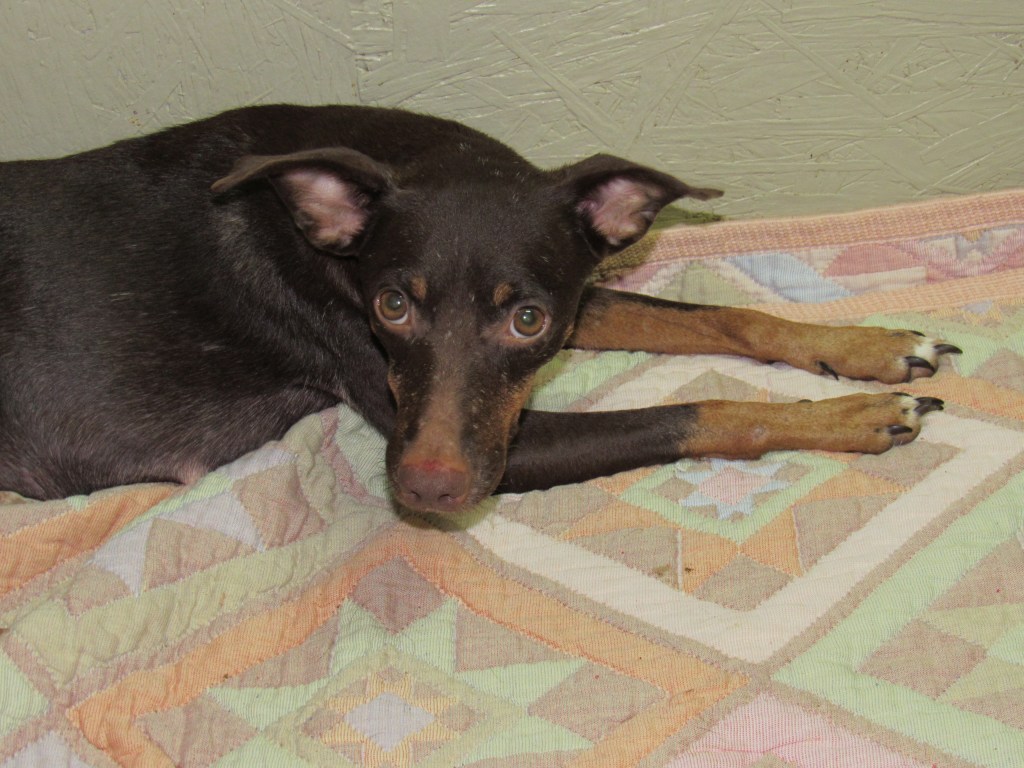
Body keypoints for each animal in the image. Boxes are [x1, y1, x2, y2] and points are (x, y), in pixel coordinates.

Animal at [0, 104, 959, 513]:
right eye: (391, 305)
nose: (426, 492)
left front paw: (866, 347)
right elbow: (701, 410)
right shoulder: (493, 444)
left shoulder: (569, 299)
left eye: (526, 320)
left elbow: (723, 319)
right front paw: (854, 416)